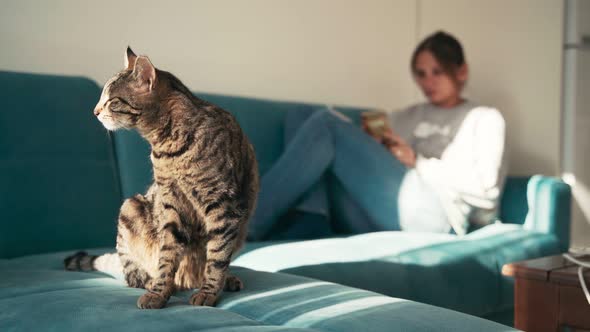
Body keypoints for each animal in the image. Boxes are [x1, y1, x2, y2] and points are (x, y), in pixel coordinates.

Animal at [63, 46, 260, 308]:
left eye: (112, 101)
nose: (94, 111)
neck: (167, 145)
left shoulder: (223, 205)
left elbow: (217, 257)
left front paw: (208, 291)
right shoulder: (172, 204)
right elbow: (167, 258)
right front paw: (158, 292)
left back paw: (223, 279)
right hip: (130, 208)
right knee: (133, 275)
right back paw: (153, 281)